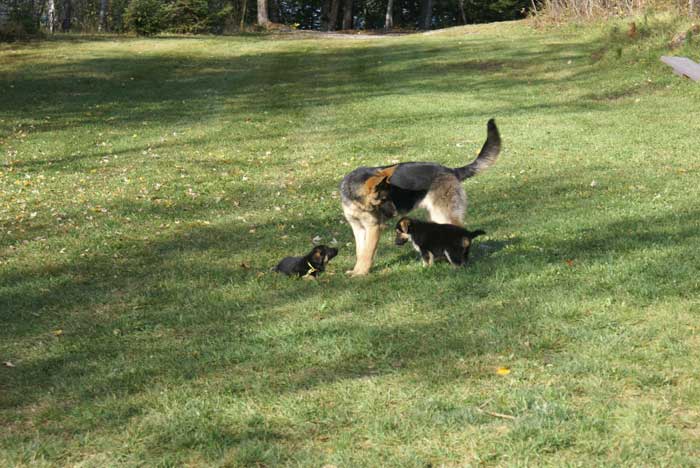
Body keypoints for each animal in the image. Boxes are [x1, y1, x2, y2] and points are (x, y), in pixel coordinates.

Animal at [340, 119, 498, 276]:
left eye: (388, 197)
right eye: (384, 198)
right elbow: (360, 252)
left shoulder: (373, 227)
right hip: (436, 218)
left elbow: (367, 253)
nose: (396, 214)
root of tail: (451, 170)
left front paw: (361, 274)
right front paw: (356, 270)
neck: (355, 200)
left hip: (444, 216)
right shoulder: (358, 228)